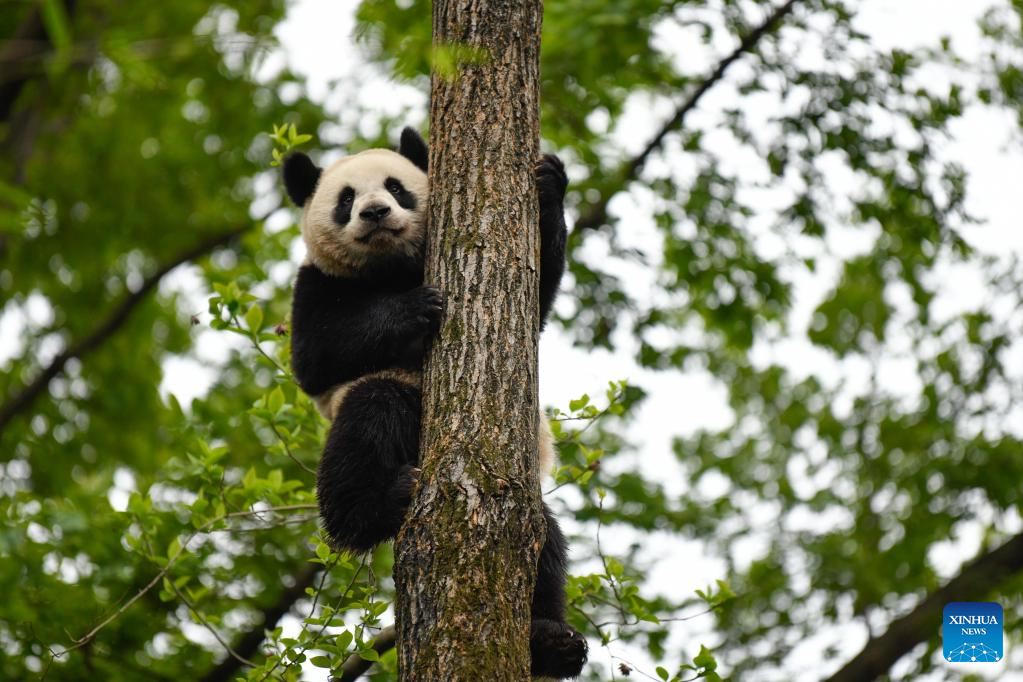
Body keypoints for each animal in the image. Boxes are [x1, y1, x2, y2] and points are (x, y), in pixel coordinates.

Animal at [284, 126, 589, 678]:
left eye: (395, 187)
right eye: (346, 199)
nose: (375, 213)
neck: (389, 268)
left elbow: (536, 301)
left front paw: (550, 181)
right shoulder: (314, 284)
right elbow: (316, 355)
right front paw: (415, 308)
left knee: (546, 543)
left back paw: (552, 642)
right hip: (390, 408)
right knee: (369, 416)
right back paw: (379, 505)